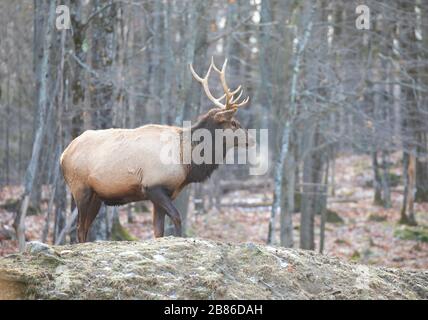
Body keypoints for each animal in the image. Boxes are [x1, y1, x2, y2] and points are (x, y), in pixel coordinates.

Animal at [60, 58, 254, 242]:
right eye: (234, 123)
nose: (251, 139)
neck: (186, 161)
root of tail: (63, 155)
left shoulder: (162, 193)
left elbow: (158, 231)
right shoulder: (153, 186)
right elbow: (177, 217)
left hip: (96, 196)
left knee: (85, 227)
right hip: (80, 188)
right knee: (79, 228)